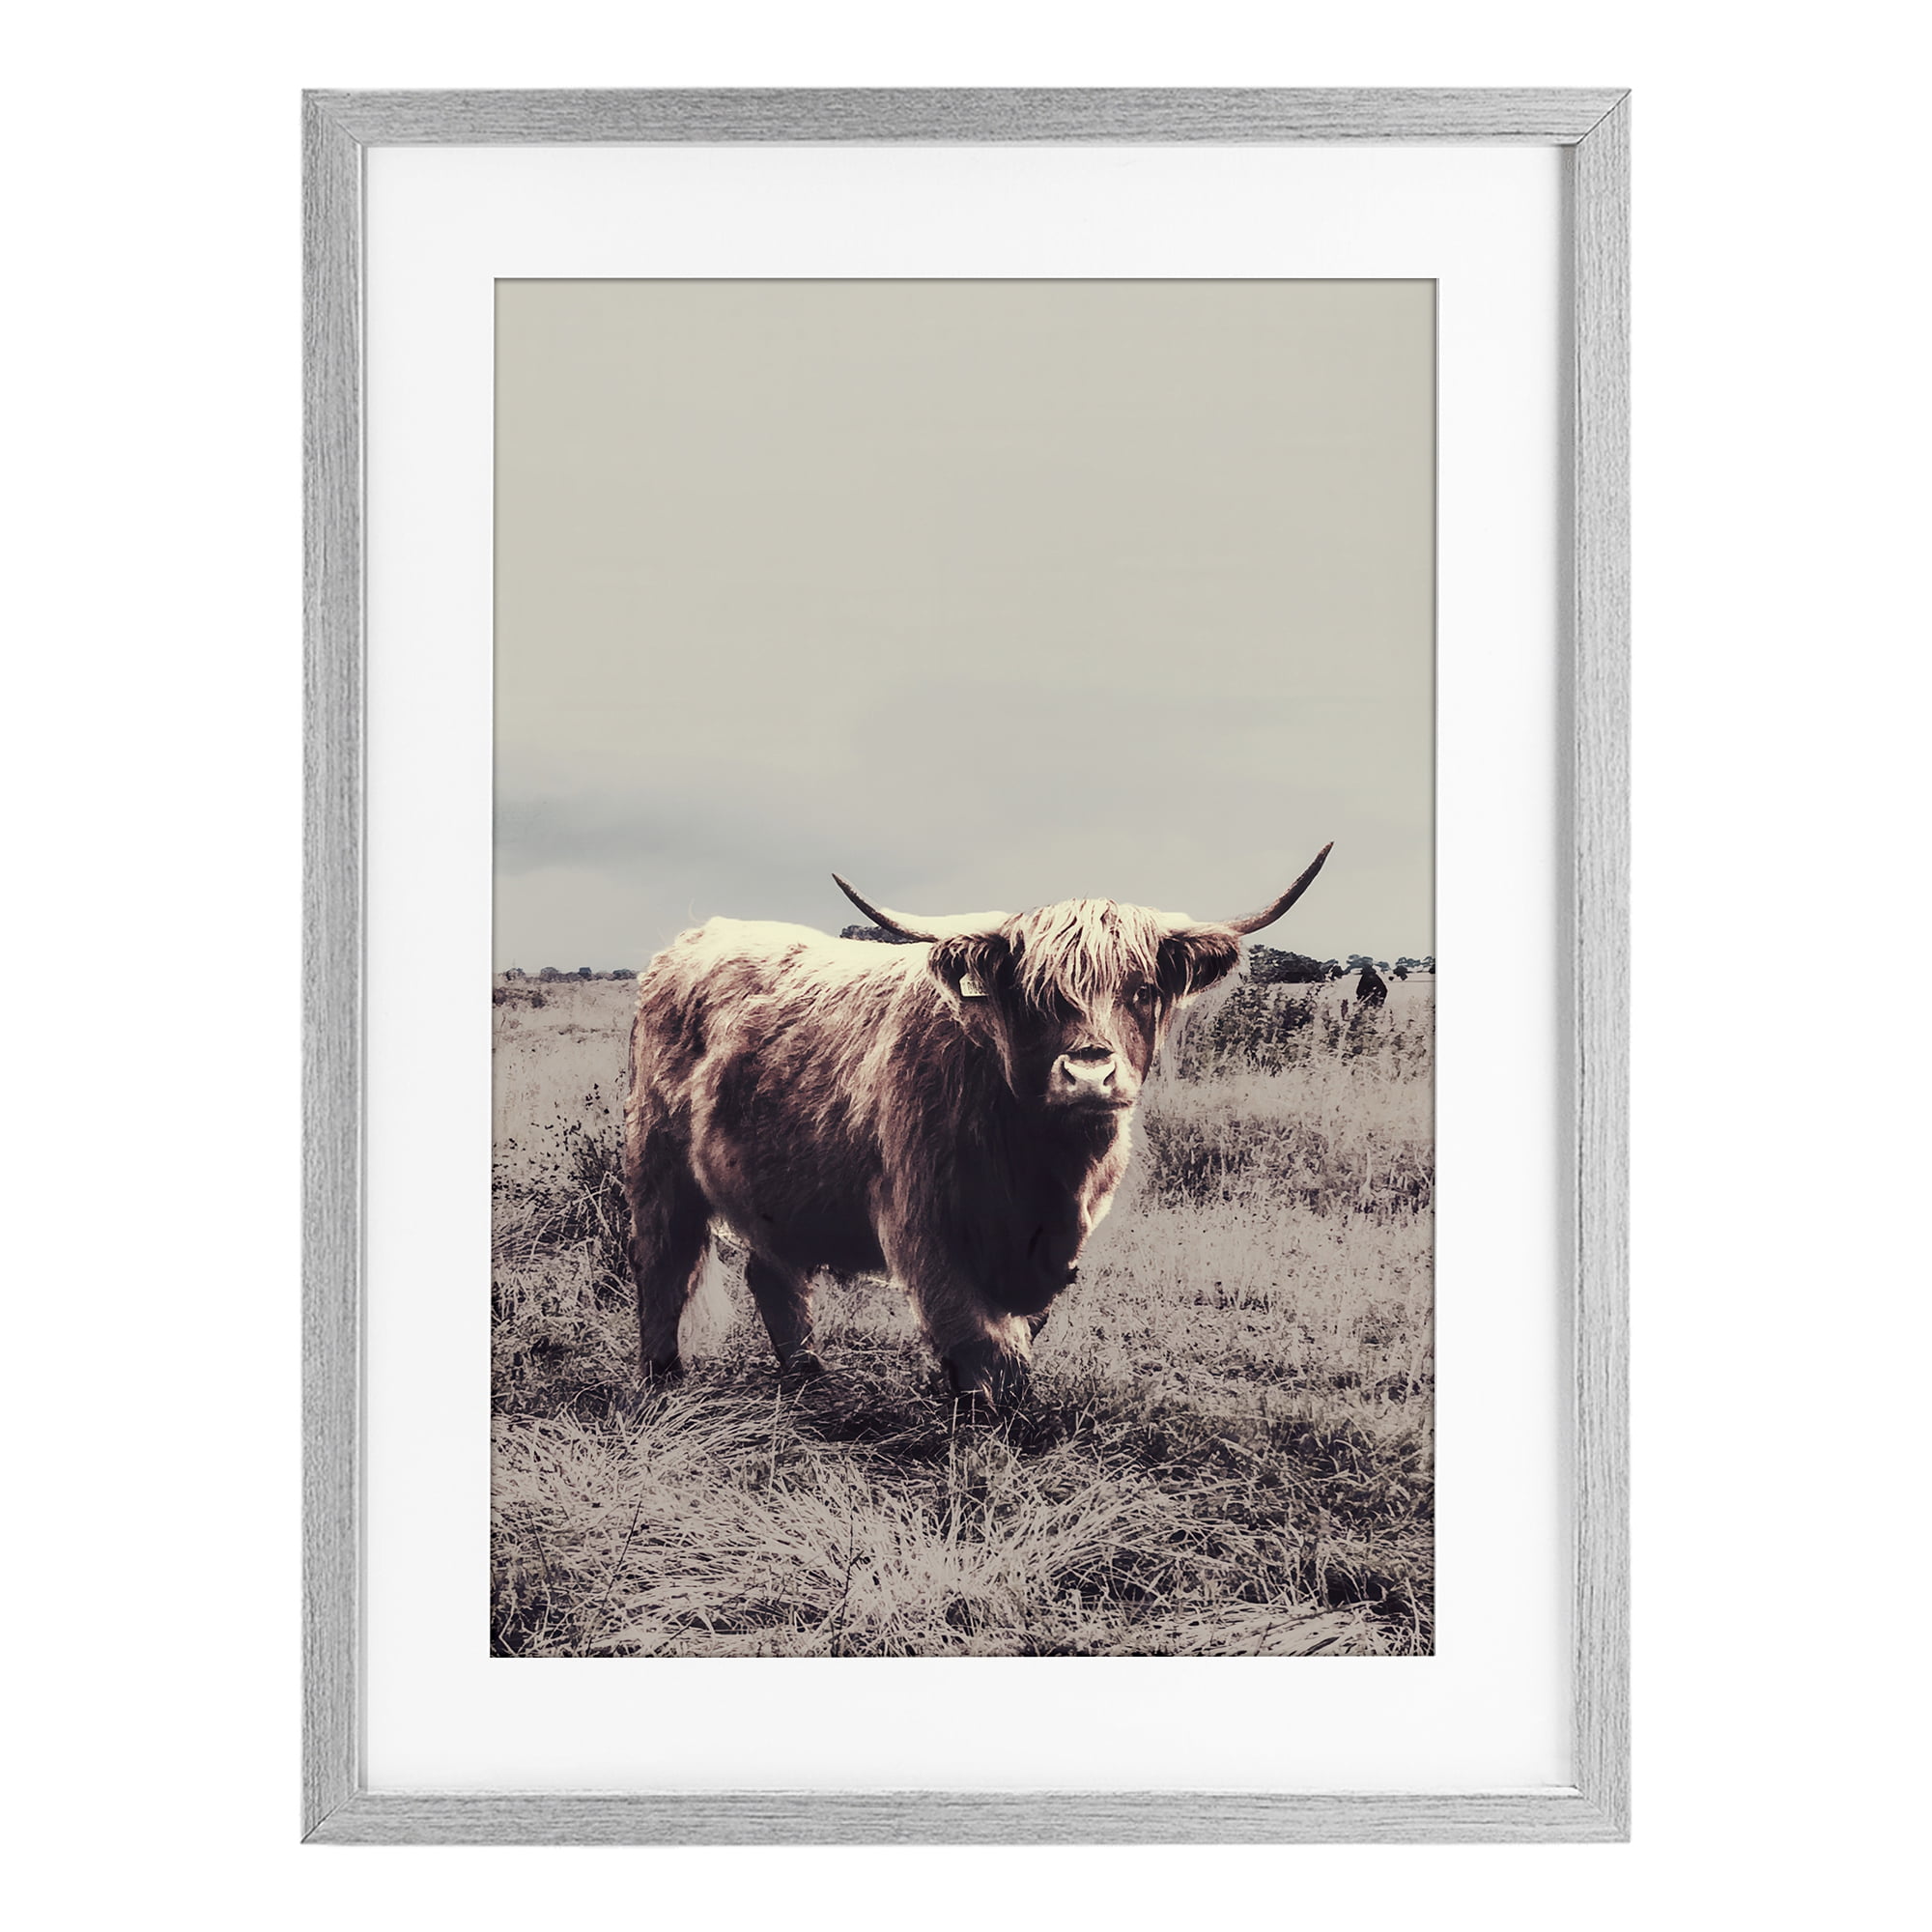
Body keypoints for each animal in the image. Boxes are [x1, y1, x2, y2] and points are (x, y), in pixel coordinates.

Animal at [621, 844, 1331, 1403]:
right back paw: (662, 1379)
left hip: (773, 1187)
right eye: (1035, 997)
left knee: (774, 1275)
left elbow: (1021, 1332)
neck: (1042, 1167)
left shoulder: (1056, 1246)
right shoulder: (925, 1227)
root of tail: (693, 939)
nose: (1090, 1075)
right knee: (663, 1266)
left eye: (1143, 990)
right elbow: (980, 1340)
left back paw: (809, 1378)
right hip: (658, 1166)